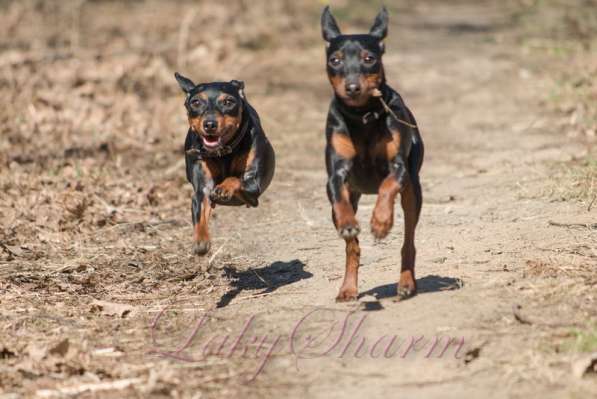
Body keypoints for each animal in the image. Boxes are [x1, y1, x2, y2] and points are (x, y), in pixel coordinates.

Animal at [172, 74, 274, 256]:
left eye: (228, 101)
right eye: (196, 102)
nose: (210, 124)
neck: (223, 152)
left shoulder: (254, 185)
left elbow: (235, 178)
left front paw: (224, 188)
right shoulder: (202, 188)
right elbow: (201, 210)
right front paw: (201, 241)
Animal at [318, 6, 422, 302]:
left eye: (369, 58)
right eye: (335, 60)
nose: (352, 87)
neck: (361, 116)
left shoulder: (397, 167)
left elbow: (387, 186)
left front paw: (381, 221)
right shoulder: (336, 174)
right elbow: (339, 199)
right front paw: (349, 222)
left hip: (413, 192)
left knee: (408, 240)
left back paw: (406, 282)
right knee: (352, 248)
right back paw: (347, 288)